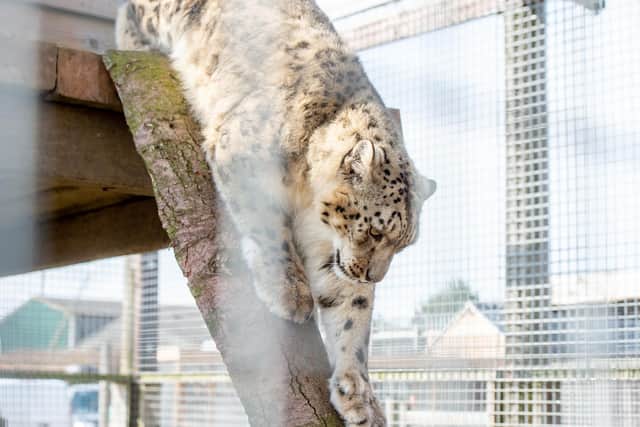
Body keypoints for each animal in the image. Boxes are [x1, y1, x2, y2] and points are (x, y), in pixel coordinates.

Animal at [116, 1, 436, 425]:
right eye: (376, 232)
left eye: (402, 245)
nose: (373, 276)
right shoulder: (242, 156)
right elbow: (269, 230)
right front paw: (290, 293)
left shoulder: (330, 254)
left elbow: (351, 312)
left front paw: (358, 395)